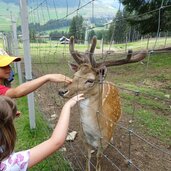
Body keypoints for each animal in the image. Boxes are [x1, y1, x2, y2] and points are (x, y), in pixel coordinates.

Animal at [58, 36, 147, 171]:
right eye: (74, 75)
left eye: (90, 80)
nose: (62, 91)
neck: (94, 133)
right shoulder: (84, 140)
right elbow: (87, 159)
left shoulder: (102, 144)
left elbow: (99, 162)